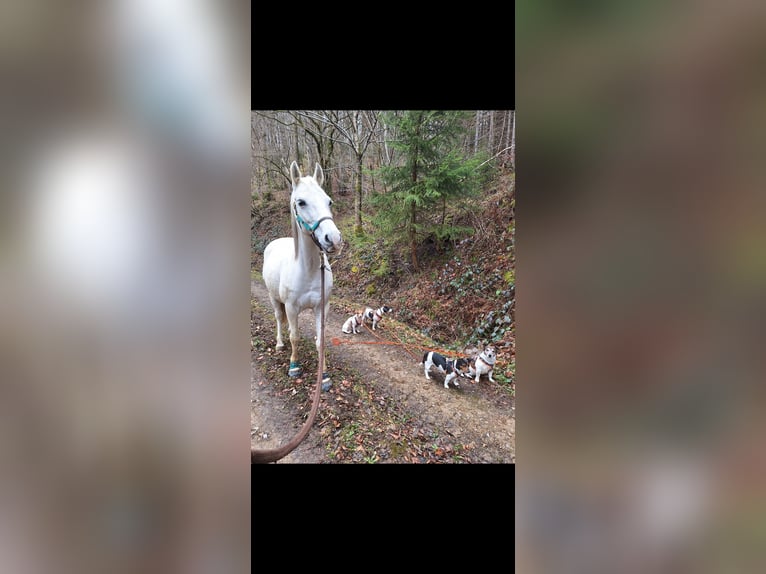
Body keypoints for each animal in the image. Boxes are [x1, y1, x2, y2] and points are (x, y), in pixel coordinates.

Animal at [261, 161, 342, 388]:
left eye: (329, 201)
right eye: (301, 202)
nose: (333, 239)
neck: (308, 271)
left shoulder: (322, 307)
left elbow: (320, 341)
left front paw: (324, 376)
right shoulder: (290, 307)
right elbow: (295, 337)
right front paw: (294, 366)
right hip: (274, 299)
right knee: (279, 319)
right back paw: (280, 344)